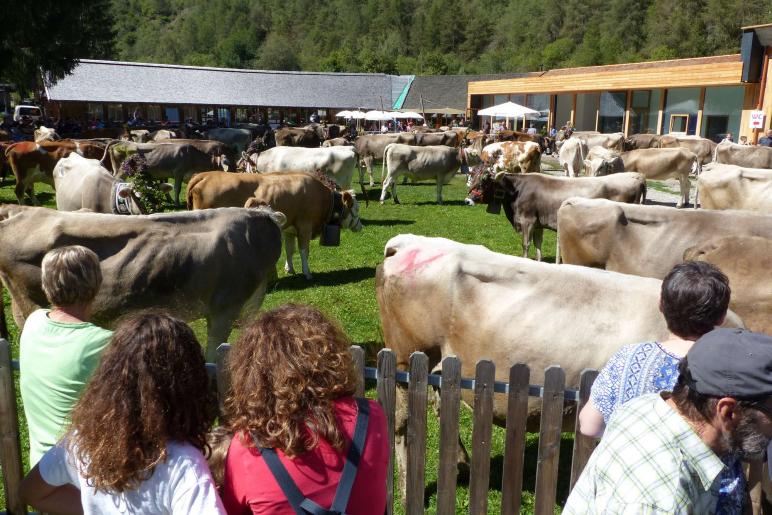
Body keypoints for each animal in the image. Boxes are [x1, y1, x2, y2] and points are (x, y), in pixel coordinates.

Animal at [190, 171, 364, 280]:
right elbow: (304, 251)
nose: (361, 226)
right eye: (356, 208)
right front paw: (307, 273)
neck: (323, 199)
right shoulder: (305, 226)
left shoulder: (290, 229)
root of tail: (205, 175)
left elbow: (289, 249)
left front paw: (289, 269)